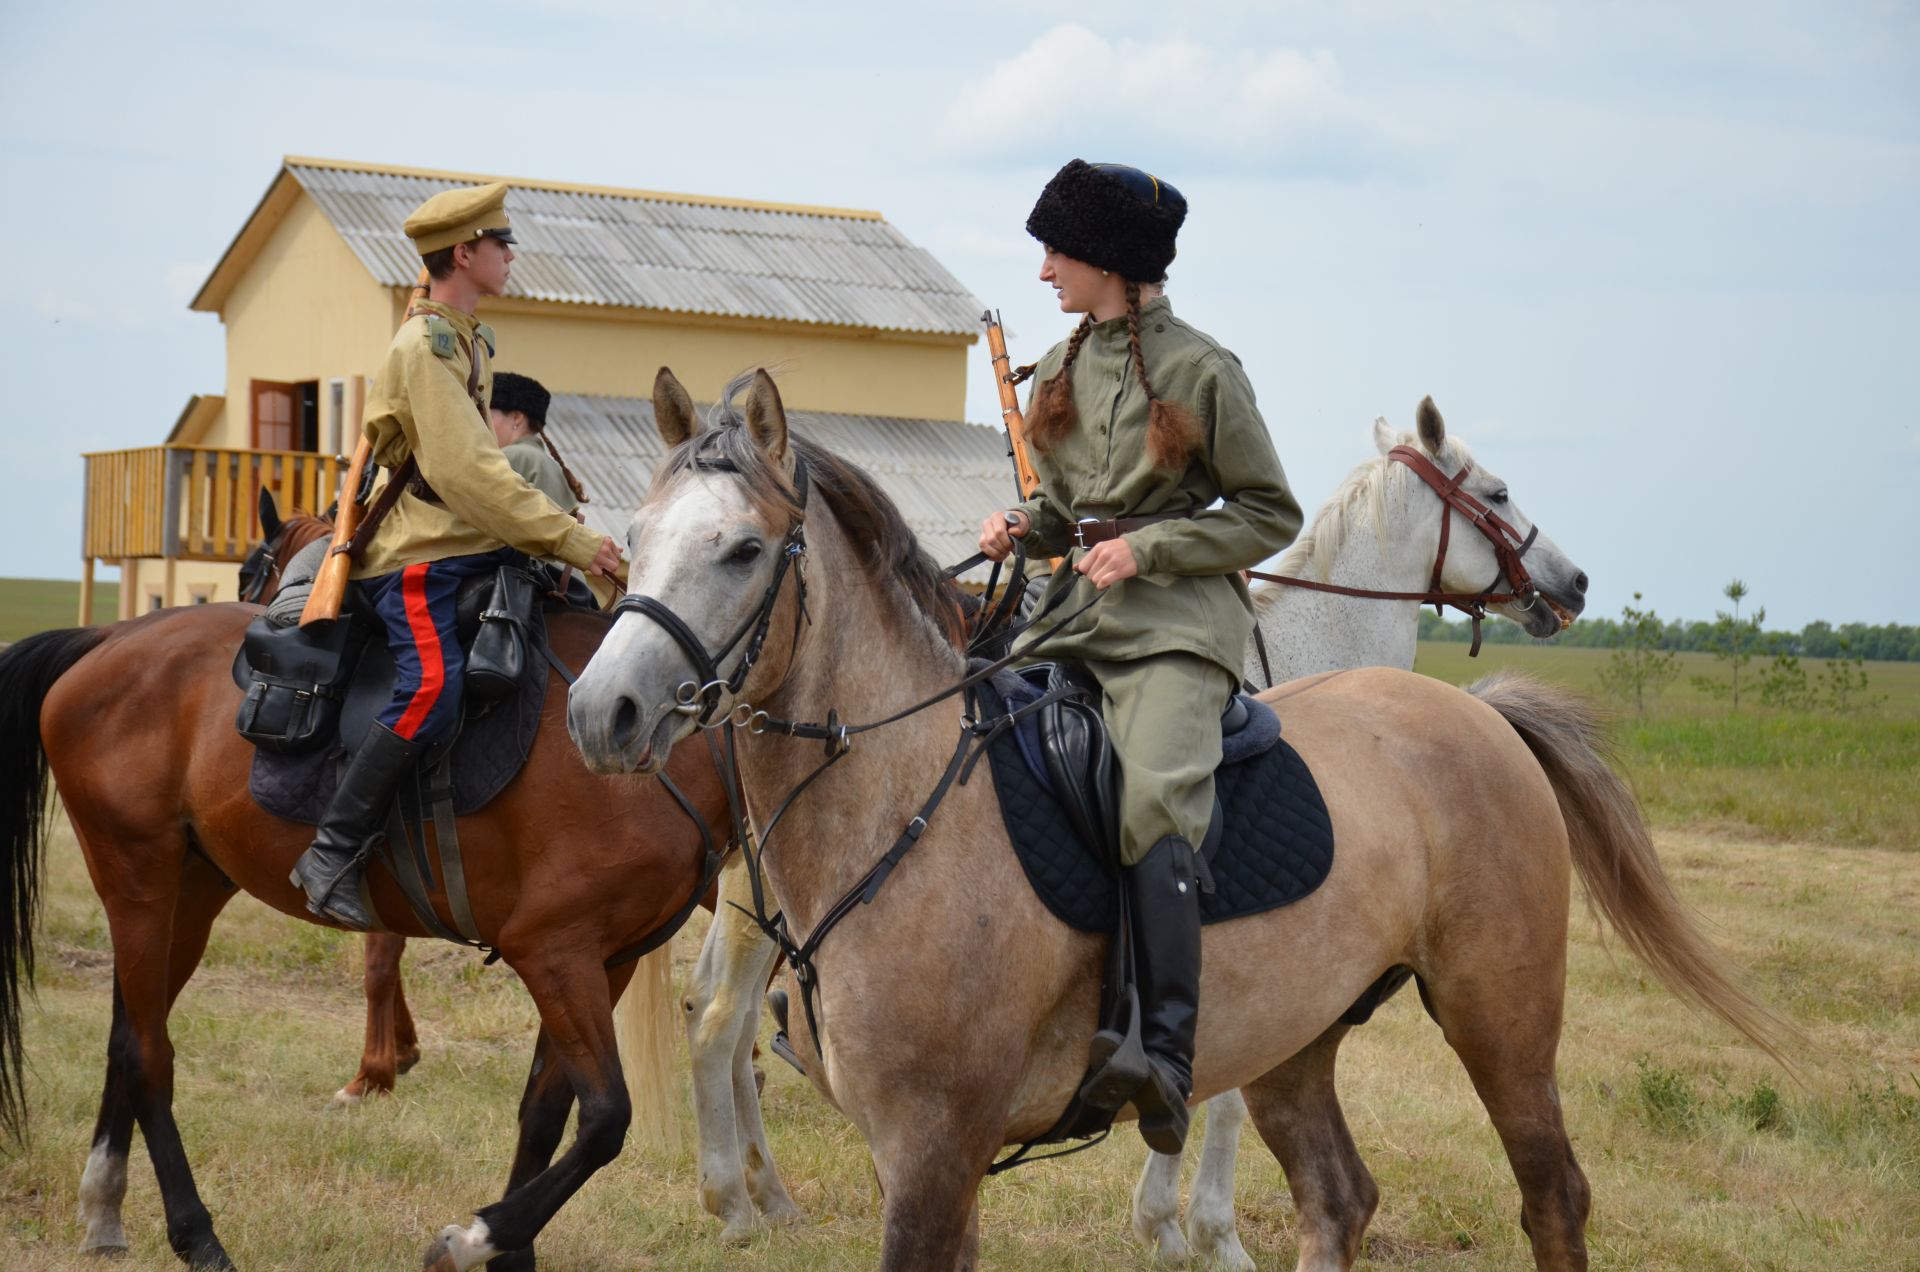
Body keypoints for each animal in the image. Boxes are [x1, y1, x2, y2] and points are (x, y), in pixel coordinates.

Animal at [0, 557, 718, 1268]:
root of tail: (110, 637)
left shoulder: (606, 960)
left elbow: (546, 1109)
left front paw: (506, 1250)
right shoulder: (553, 950)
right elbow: (604, 1119)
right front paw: (475, 1237)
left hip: (189, 892)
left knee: (127, 1036)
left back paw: (104, 1210)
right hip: (137, 879)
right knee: (149, 1053)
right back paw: (197, 1236)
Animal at [560, 374, 1789, 1272]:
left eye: (743, 548)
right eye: (638, 530)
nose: (598, 712)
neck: (908, 802)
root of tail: (1476, 716)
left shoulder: (934, 1152)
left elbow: (1204, 1112)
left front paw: (1182, 1227)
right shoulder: (920, 1160)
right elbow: (1218, 1119)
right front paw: (1191, 1227)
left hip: (1501, 1018)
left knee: (1551, 1200)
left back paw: (748, 1199)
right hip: (1320, 1032)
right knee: (1342, 1198)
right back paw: (746, 1200)